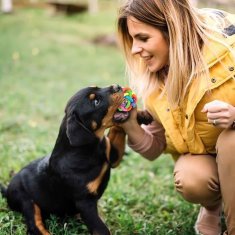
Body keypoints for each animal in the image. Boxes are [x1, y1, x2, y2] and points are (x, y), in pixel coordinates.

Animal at [0, 85, 152, 235]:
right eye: (96, 102)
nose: (118, 86)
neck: (89, 148)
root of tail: (7, 190)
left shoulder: (112, 156)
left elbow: (117, 129)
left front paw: (140, 115)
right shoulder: (84, 202)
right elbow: (100, 228)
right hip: (27, 201)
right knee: (35, 225)